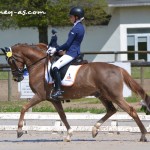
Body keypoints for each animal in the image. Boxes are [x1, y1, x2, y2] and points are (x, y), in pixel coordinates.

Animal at [0, 43, 150, 142]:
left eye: (11, 60)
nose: (17, 77)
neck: (39, 66)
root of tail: (118, 68)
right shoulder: (54, 99)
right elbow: (62, 116)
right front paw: (69, 134)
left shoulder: (40, 96)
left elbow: (24, 108)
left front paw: (19, 130)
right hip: (102, 95)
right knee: (111, 110)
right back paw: (94, 129)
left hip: (114, 95)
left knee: (131, 111)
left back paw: (143, 135)